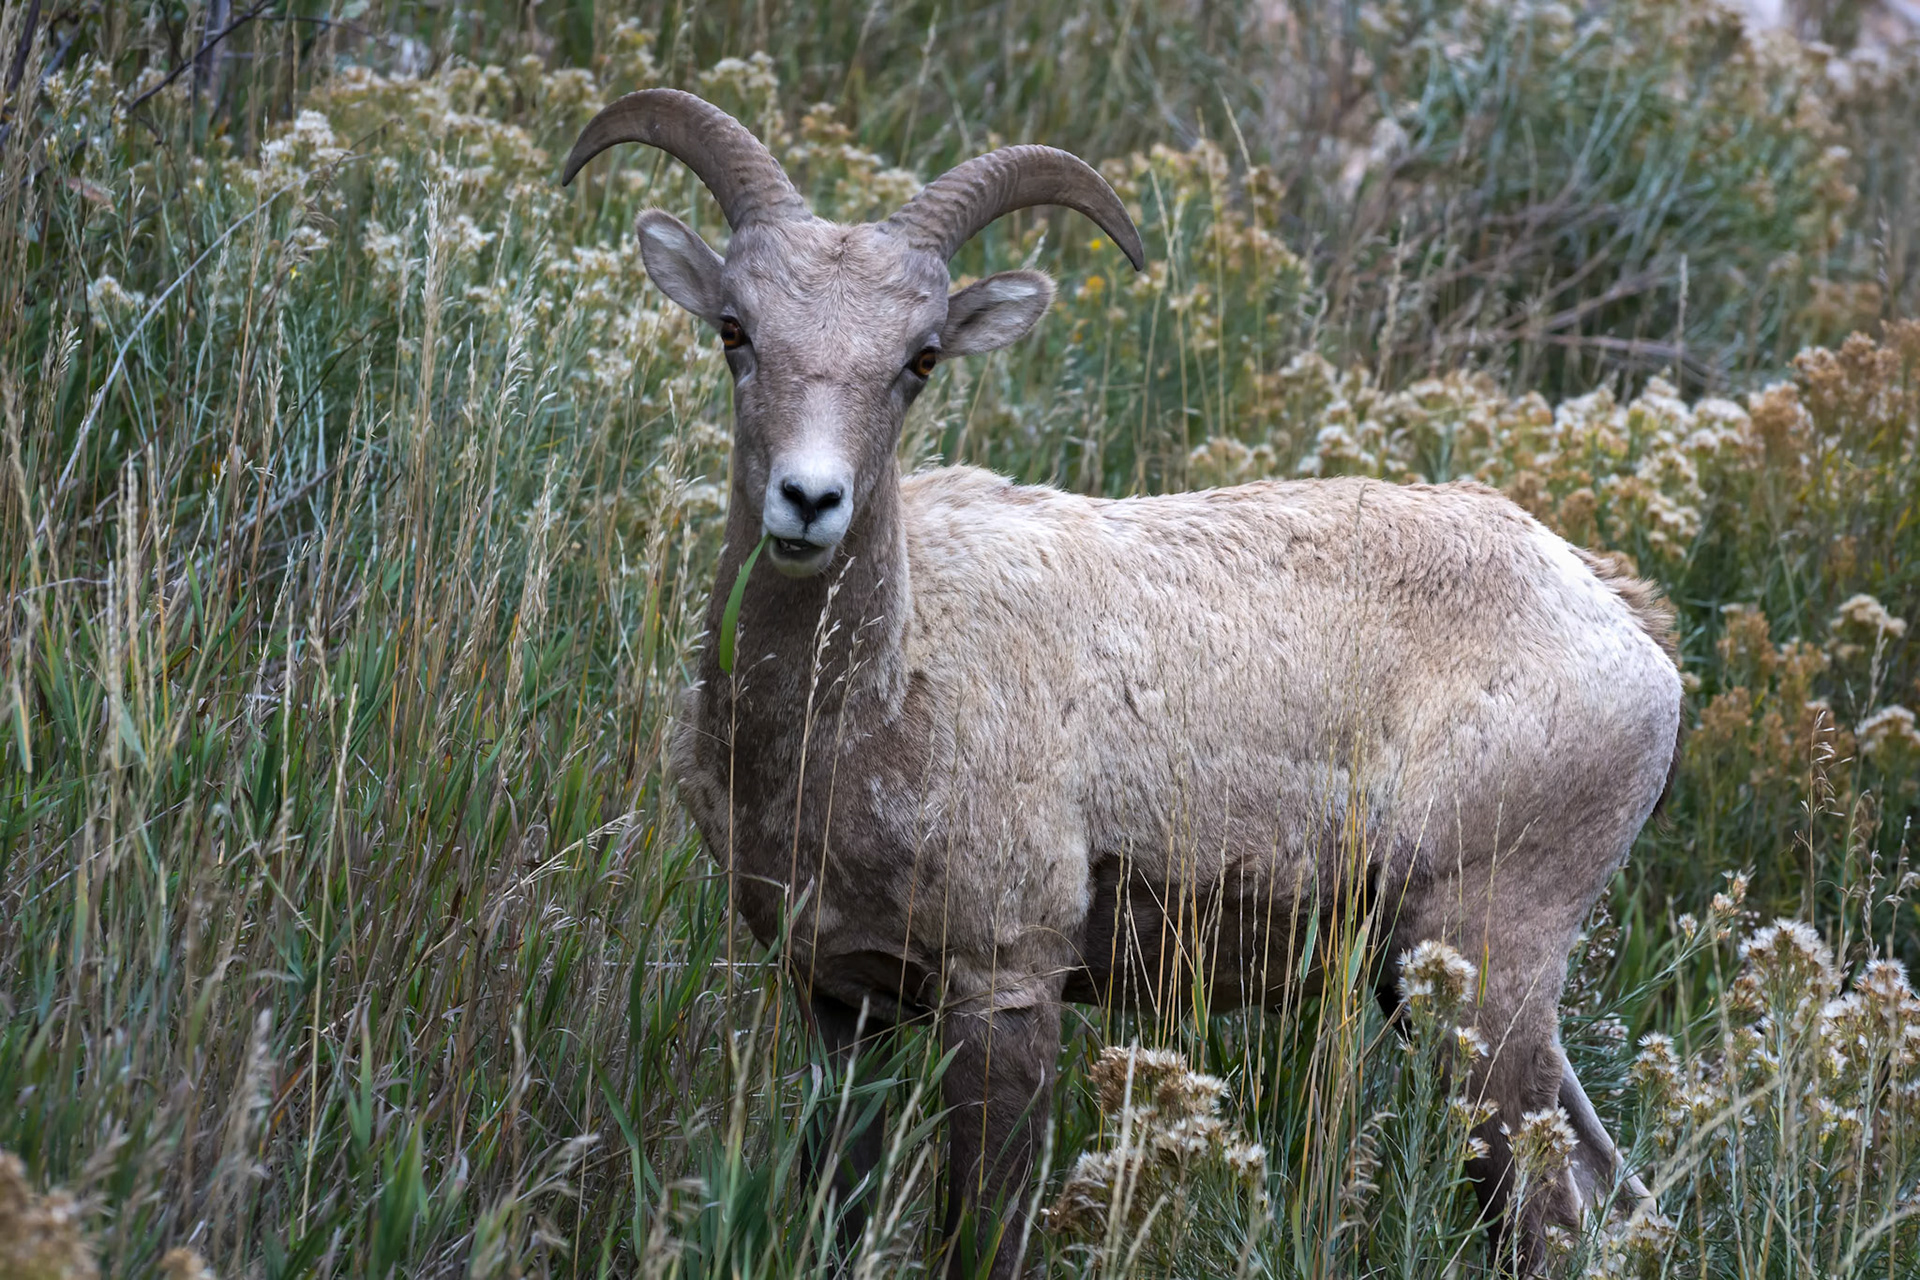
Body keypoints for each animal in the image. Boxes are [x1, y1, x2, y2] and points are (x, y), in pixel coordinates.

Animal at [563, 89, 1681, 1277]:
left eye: (919, 358)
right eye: (736, 330)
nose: (809, 501)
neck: (865, 712)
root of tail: (1631, 634)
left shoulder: (1005, 987)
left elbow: (984, 1230)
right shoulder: (842, 1001)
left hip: (1484, 968)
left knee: (1556, 1213)